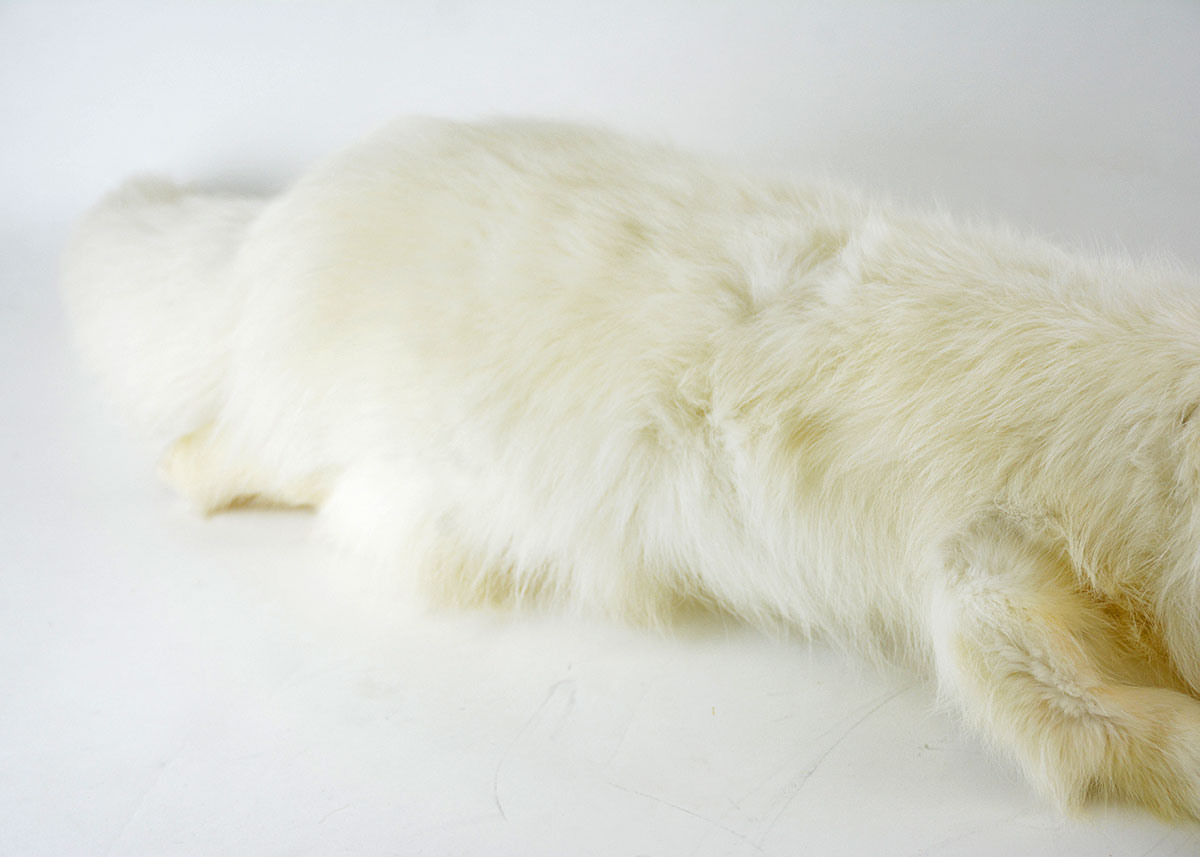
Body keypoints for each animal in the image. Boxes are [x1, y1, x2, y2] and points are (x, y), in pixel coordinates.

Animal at [62, 117, 1200, 819]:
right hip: (304, 414)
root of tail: (271, 220)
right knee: (210, 452)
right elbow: (1042, 690)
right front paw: (1180, 750)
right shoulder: (982, 554)